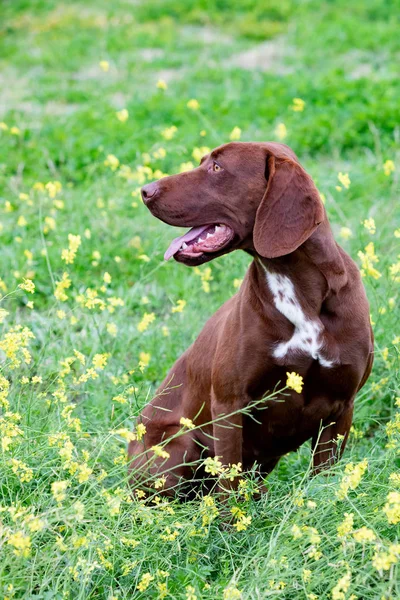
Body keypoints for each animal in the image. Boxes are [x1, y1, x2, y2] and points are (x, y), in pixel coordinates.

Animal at [129, 141, 376, 496]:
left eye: (217, 167)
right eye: (203, 161)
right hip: (180, 446)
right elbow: (228, 482)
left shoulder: (341, 406)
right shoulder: (229, 404)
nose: (145, 190)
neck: (297, 287)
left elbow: (323, 481)